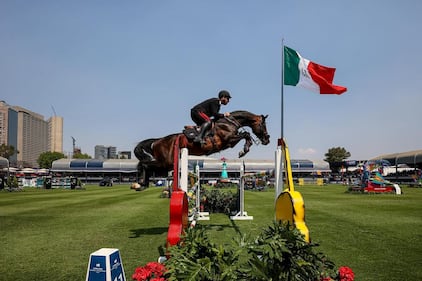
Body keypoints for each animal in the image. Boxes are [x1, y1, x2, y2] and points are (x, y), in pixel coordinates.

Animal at [134, 109, 268, 186]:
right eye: (263, 125)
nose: (267, 139)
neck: (228, 123)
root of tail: (157, 141)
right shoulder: (228, 140)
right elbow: (246, 134)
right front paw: (244, 151)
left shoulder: (229, 143)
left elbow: (246, 135)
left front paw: (244, 149)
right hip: (165, 163)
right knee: (145, 164)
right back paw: (141, 183)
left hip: (167, 164)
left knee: (145, 164)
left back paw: (142, 183)